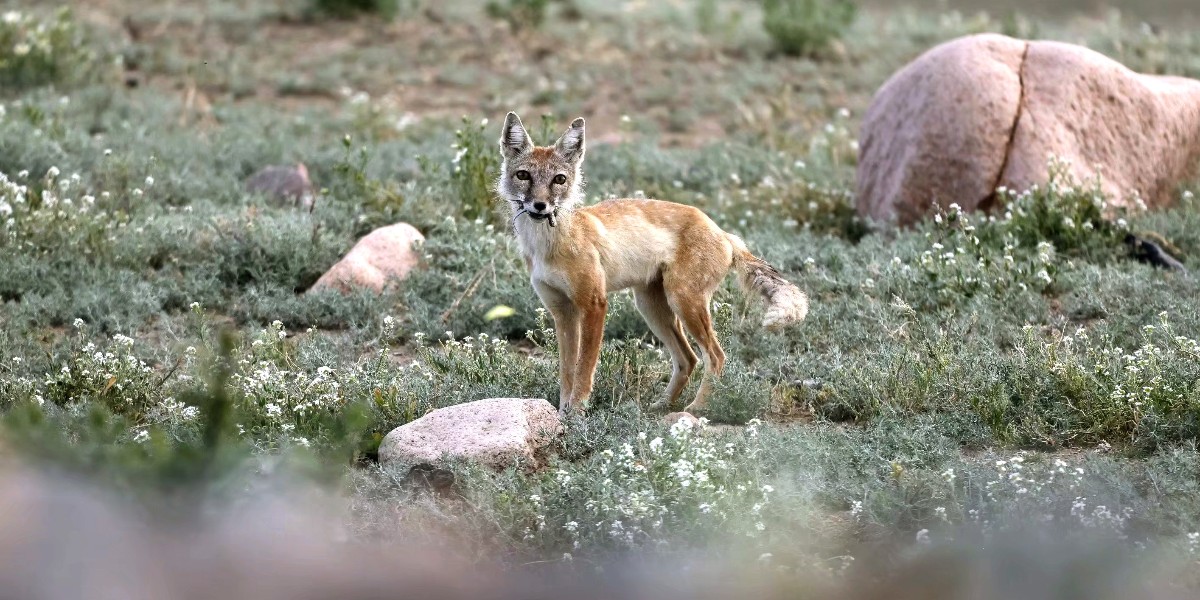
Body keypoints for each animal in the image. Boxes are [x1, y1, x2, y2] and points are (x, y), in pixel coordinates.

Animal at [497, 112, 809, 416]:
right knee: (689, 359)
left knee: (716, 357)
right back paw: (663, 405)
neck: (548, 246)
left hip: (683, 302)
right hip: (652, 308)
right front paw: (563, 413)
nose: (540, 206)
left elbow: (584, 369)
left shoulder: (594, 304)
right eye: (523, 175)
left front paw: (577, 413)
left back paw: (697, 408)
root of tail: (723, 232)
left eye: (559, 180)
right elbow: (567, 372)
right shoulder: (562, 311)